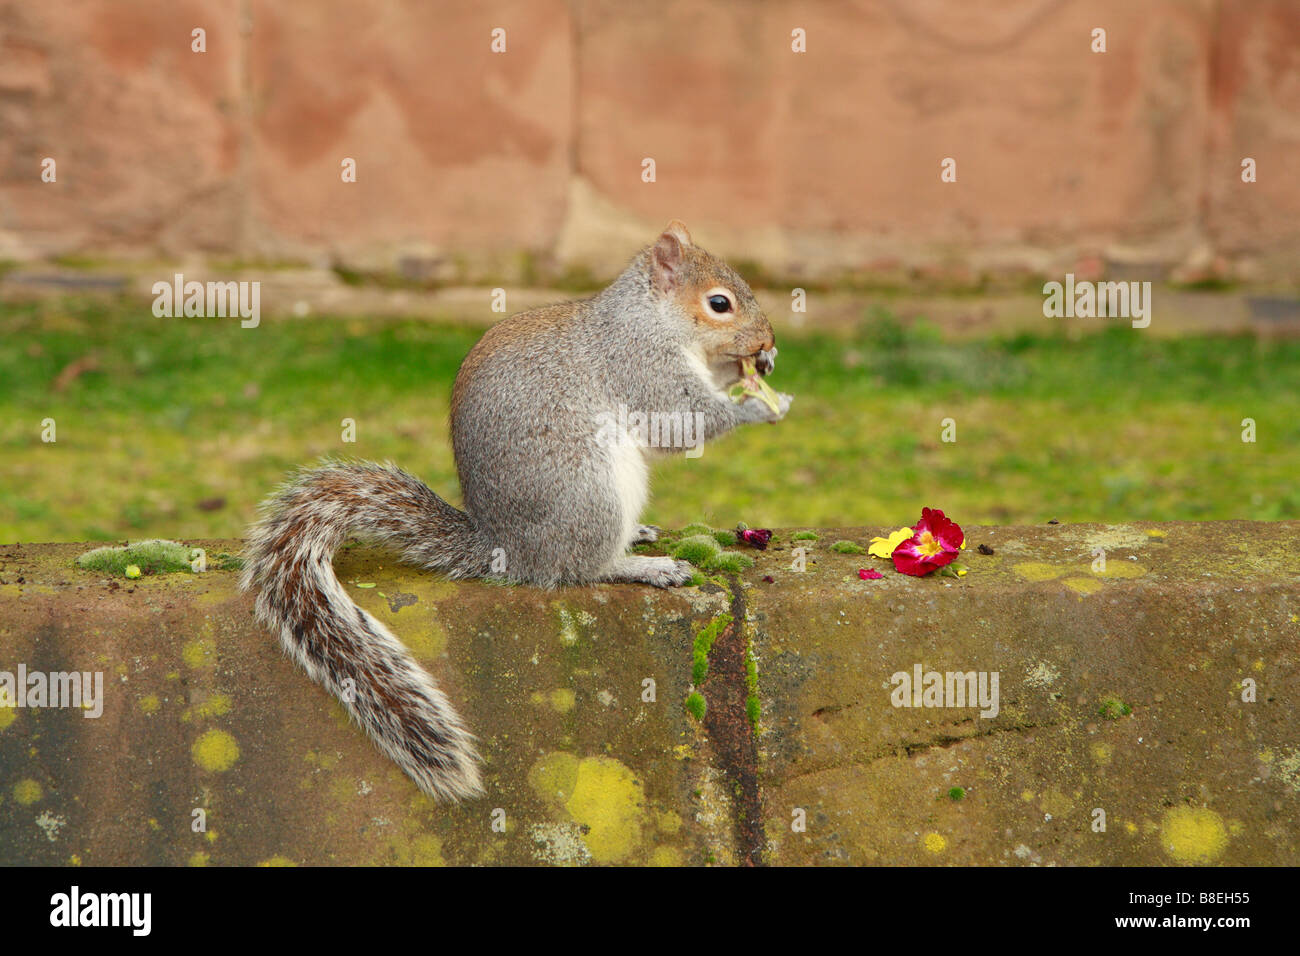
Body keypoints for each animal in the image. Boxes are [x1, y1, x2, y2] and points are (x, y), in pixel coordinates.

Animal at [240, 220, 792, 801]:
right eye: (719, 304)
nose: (768, 342)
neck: (650, 318)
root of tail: (506, 549)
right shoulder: (639, 364)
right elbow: (682, 421)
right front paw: (758, 405)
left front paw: (759, 371)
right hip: (589, 491)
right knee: (576, 569)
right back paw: (643, 566)